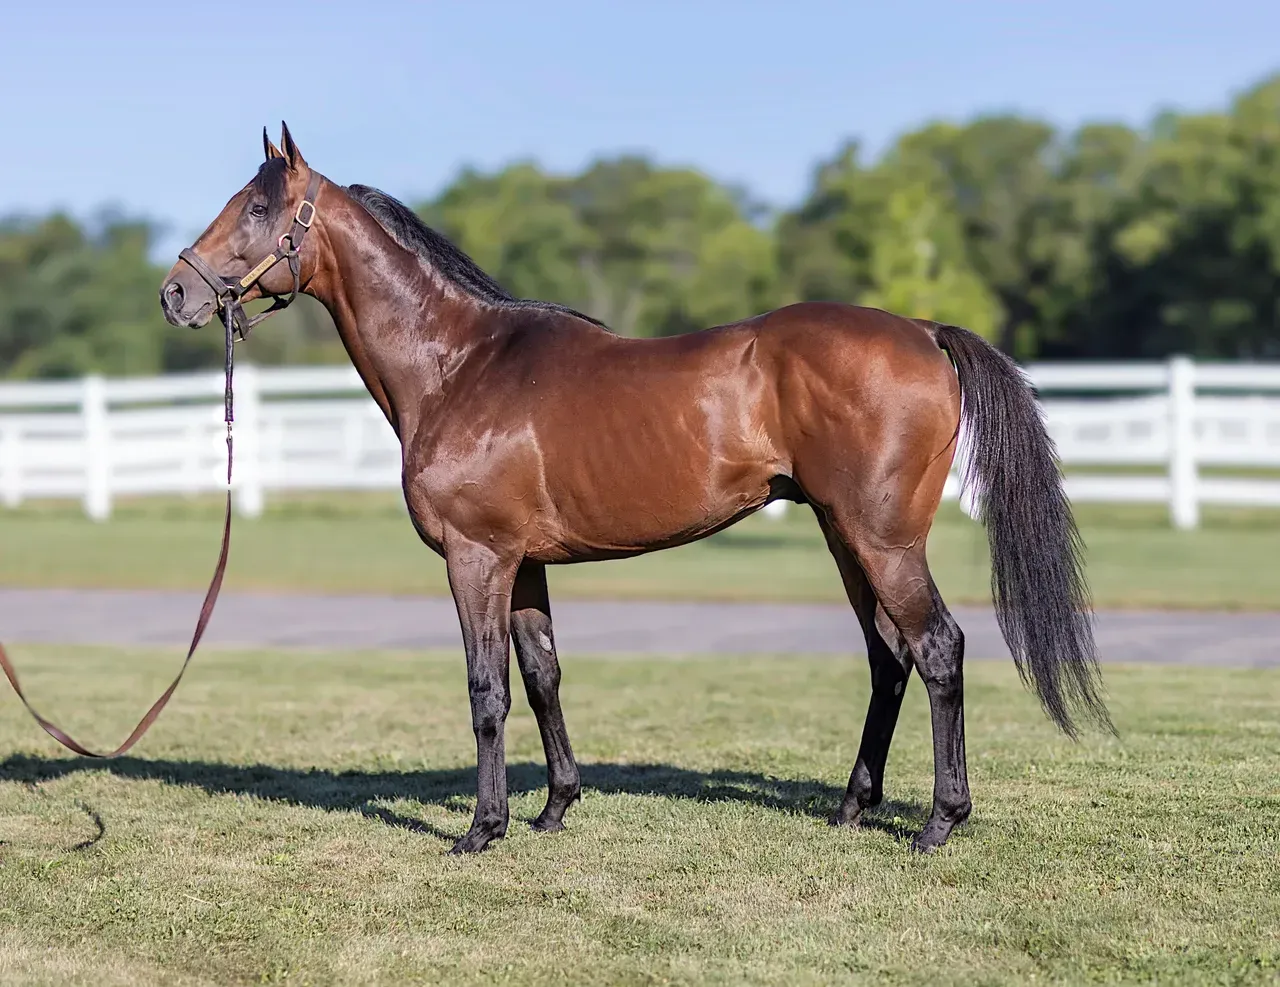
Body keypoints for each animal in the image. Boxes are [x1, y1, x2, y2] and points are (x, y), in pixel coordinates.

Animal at [159, 124, 1109, 855]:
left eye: (256, 209)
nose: (175, 292)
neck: (460, 365)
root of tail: (921, 328)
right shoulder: (525, 562)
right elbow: (542, 673)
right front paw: (554, 807)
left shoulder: (476, 558)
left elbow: (486, 688)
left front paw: (482, 828)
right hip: (847, 536)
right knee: (889, 655)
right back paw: (851, 808)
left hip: (882, 539)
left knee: (939, 647)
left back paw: (939, 822)